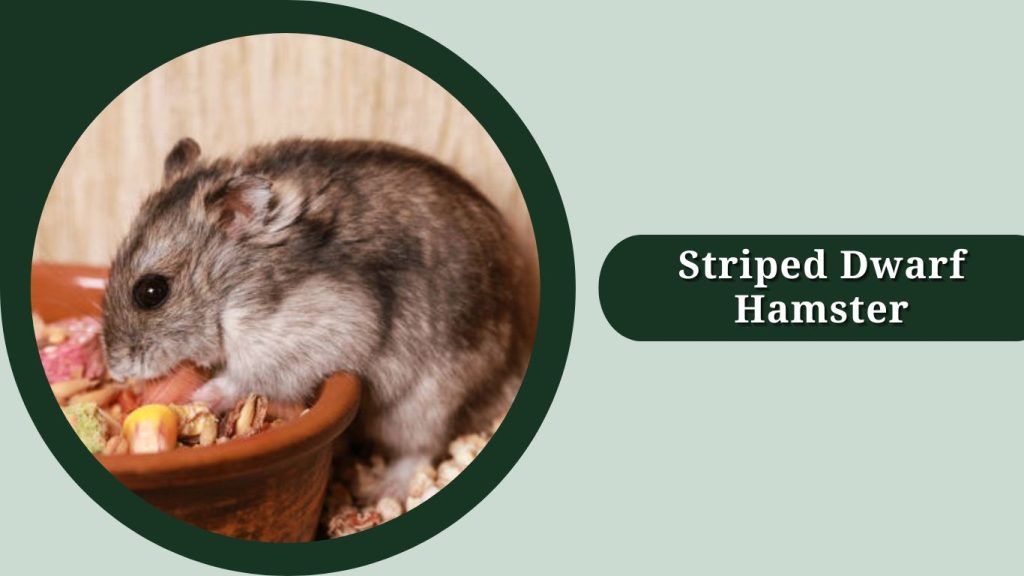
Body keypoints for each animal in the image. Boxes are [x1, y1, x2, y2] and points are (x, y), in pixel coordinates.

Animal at [102, 137, 531, 496]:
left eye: (151, 292)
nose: (118, 371)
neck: (232, 287)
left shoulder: (304, 334)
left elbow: (243, 377)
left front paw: (199, 395)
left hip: (423, 402)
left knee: (422, 449)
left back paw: (378, 491)